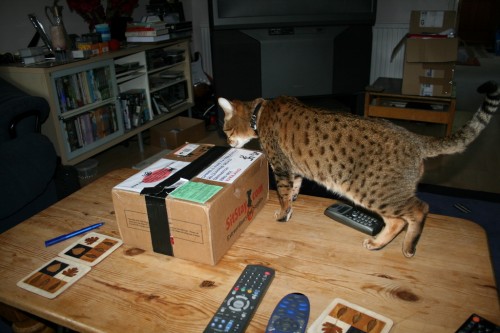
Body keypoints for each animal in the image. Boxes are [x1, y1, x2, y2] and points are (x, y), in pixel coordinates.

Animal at [220, 80, 500, 256]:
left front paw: (282, 213)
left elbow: (283, 194)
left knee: (418, 210)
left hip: (373, 191)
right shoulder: (293, 169)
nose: (227, 142)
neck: (260, 112)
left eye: (225, 129)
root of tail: (417, 140)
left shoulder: (280, 166)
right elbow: (294, 189)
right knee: (398, 221)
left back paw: (407, 247)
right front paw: (293, 203)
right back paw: (377, 243)